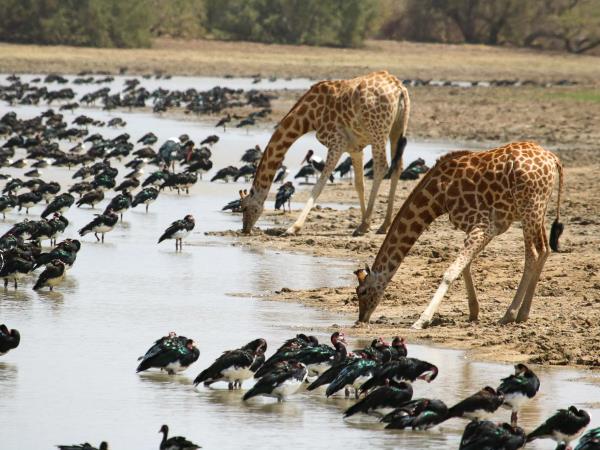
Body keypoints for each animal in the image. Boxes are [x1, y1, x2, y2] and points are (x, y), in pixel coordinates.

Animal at [241, 70, 410, 236]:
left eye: (244, 207)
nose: (245, 228)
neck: (309, 117)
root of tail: (399, 88)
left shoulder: (336, 142)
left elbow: (320, 184)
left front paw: (293, 228)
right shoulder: (355, 148)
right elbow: (359, 184)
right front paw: (365, 223)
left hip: (378, 131)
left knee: (382, 166)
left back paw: (371, 226)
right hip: (397, 128)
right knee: (397, 166)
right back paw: (384, 225)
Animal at [352, 142, 564, 328]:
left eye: (362, 291)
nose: (361, 319)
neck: (439, 194)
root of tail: (553, 159)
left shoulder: (483, 225)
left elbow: (451, 271)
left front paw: (421, 321)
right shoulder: (481, 227)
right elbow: (465, 267)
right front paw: (474, 312)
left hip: (530, 208)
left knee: (533, 254)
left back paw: (509, 314)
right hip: (538, 210)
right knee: (544, 250)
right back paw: (522, 314)